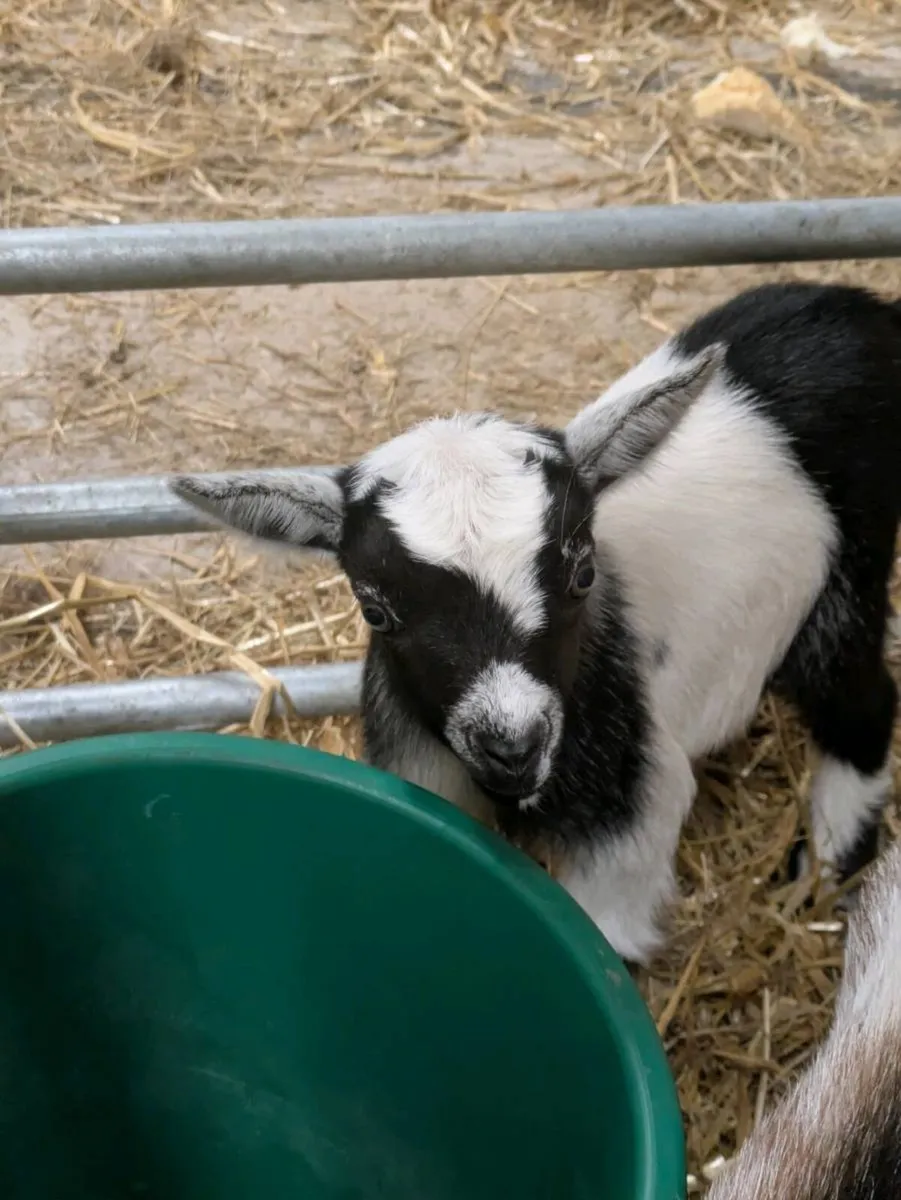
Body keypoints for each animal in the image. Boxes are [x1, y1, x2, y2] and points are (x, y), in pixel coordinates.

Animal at [171, 282, 901, 965]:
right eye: (374, 608)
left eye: (583, 574)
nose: (512, 746)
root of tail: (871, 310)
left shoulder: (631, 821)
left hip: (844, 585)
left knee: (862, 705)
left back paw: (825, 872)